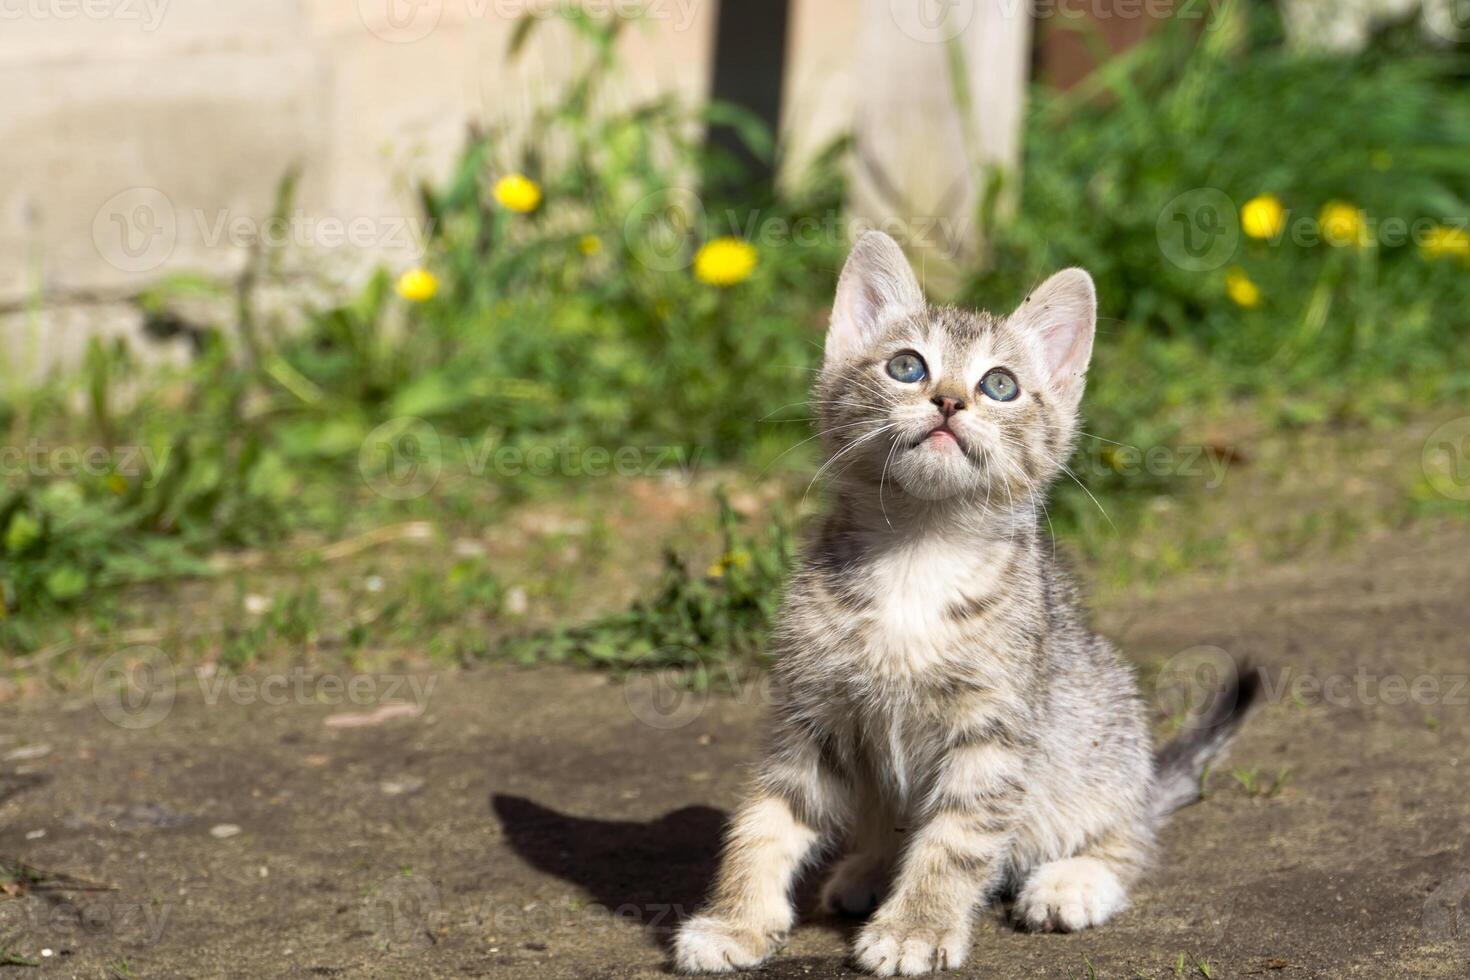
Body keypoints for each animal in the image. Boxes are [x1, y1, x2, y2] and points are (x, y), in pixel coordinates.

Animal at [673, 232, 1258, 975]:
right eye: (906, 366)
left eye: (999, 384)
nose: (949, 401)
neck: (917, 555)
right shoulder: (810, 715)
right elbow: (767, 819)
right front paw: (737, 919)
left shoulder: (994, 733)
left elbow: (954, 842)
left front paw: (916, 929)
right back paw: (869, 869)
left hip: (1102, 733)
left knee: (1127, 835)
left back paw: (1074, 880)